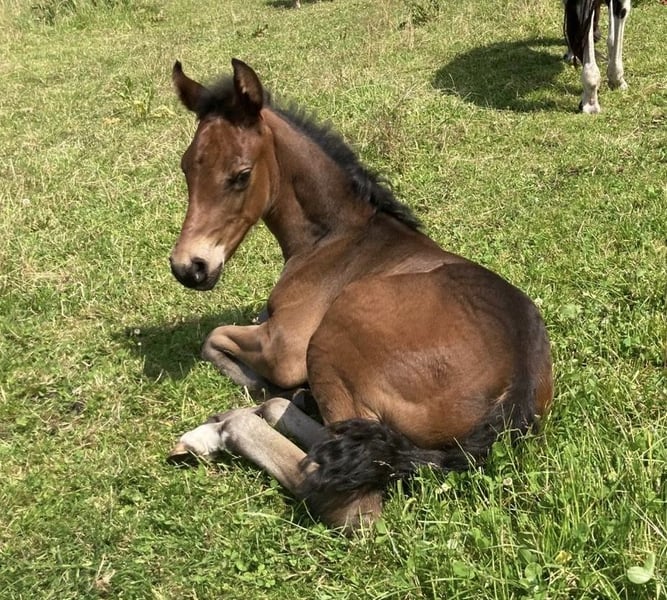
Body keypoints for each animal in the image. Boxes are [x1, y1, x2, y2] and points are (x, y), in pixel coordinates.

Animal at [166, 59, 554, 531]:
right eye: (187, 168)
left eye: (241, 175)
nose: (189, 267)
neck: (336, 236)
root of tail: (515, 389)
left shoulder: (285, 348)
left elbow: (214, 339)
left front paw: (255, 386)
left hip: (332, 338)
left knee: (342, 494)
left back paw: (225, 427)